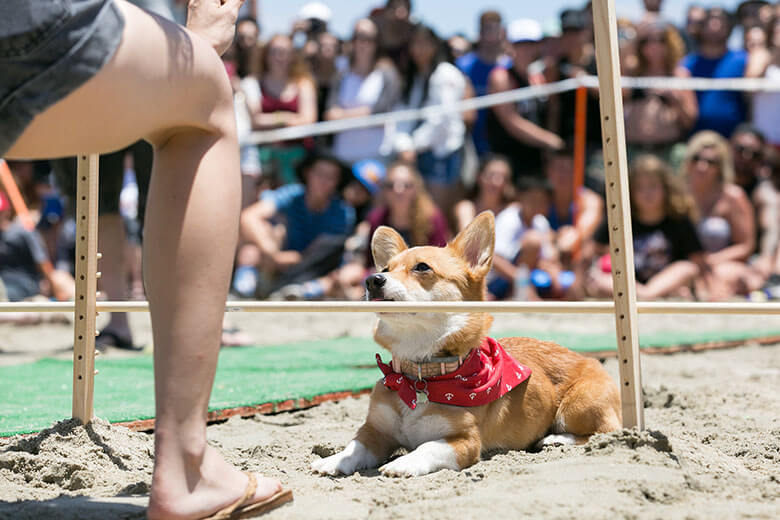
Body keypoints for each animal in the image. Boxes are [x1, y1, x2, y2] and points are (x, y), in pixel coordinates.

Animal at [310, 210, 620, 476]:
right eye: (386, 268)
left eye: (422, 267)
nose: (372, 280)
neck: (419, 373)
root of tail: (589, 359)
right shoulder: (375, 431)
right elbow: (356, 445)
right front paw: (335, 459)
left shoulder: (464, 442)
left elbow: (427, 446)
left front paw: (402, 463)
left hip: (576, 407)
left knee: (607, 431)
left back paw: (557, 438)